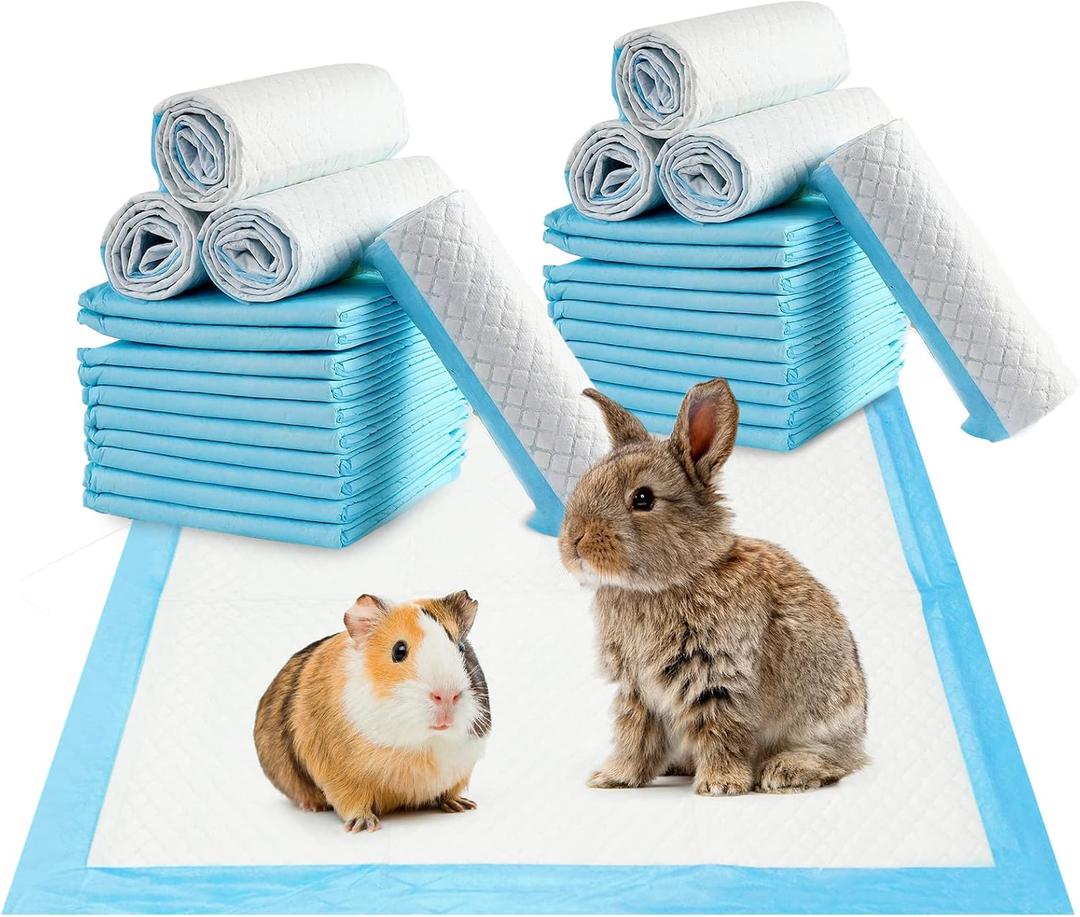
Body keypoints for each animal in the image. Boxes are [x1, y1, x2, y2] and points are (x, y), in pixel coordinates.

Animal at [254, 590, 490, 832]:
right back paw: (313, 807)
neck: (424, 745)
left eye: (461, 648)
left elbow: (449, 791)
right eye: (399, 650)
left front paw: (462, 805)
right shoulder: (339, 776)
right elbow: (352, 802)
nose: (447, 696)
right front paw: (363, 825)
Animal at [559, 378, 867, 796]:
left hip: (823, 721)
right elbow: (636, 736)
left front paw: (720, 785)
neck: (670, 581)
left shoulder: (718, 678)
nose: (574, 540)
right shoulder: (639, 691)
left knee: (837, 760)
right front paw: (613, 778)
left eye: (643, 498)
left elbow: (721, 731)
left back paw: (785, 771)